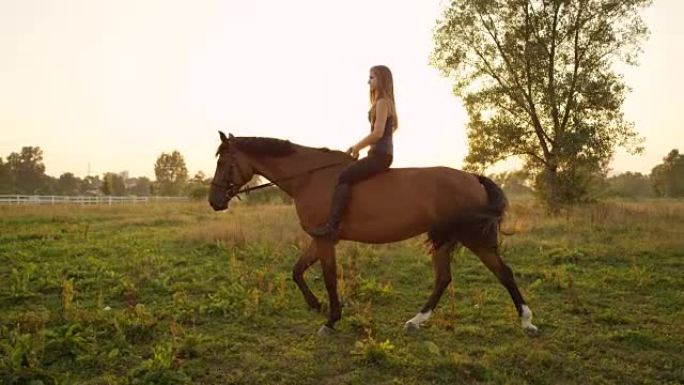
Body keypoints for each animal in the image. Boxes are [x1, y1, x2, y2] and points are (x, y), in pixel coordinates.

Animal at [208, 130, 540, 334]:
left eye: (224, 162)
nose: (214, 201)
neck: (309, 178)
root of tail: (473, 177)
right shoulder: (320, 238)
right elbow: (297, 271)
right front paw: (316, 305)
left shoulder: (325, 239)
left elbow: (329, 278)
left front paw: (330, 320)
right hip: (446, 238)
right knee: (444, 278)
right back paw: (416, 321)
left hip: (473, 237)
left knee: (503, 273)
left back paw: (527, 323)